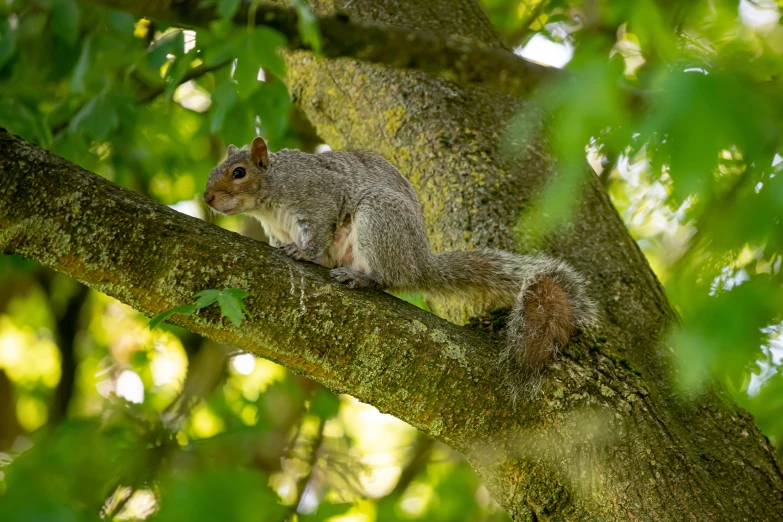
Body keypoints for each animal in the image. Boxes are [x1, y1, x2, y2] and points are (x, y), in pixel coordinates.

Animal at [204, 136, 600, 396]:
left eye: (238, 172)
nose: (207, 198)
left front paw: (304, 252)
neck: (269, 199)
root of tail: (418, 263)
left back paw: (360, 278)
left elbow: (318, 230)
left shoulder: (318, 196)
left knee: (387, 278)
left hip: (378, 219)